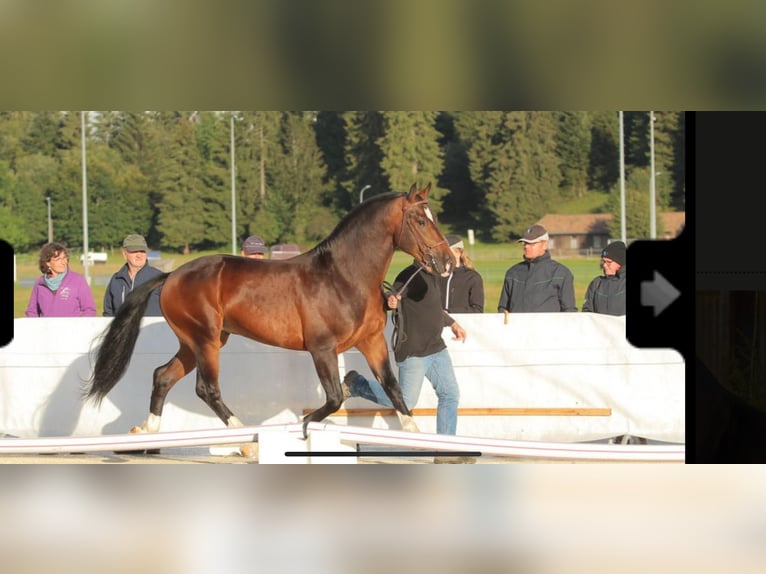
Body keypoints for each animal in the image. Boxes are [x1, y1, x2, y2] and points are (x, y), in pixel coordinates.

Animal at [85, 183, 456, 454]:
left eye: (434, 217)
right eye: (420, 221)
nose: (448, 262)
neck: (343, 276)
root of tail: (173, 275)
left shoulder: (372, 341)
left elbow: (393, 389)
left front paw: (416, 435)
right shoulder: (322, 349)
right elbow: (334, 398)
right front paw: (304, 428)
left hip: (196, 343)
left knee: (162, 376)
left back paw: (145, 432)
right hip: (205, 340)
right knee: (207, 389)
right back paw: (243, 441)